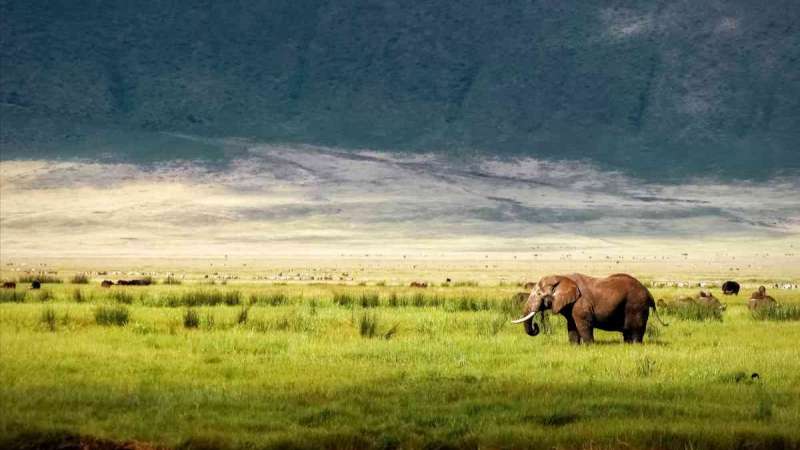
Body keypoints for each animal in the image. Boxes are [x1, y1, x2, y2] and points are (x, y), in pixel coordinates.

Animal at [512, 273, 666, 344]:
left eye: (539, 294)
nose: (536, 327)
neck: (561, 277)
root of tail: (649, 294)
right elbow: (572, 326)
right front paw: (574, 347)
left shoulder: (580, 304)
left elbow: (583, 325)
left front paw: (589, 346)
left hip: (637, 306)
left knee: (636, 331)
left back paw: (635, 345)